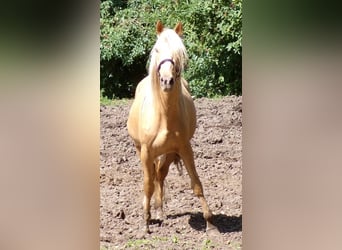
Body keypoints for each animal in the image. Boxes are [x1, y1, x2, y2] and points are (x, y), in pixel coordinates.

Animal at [127, 20, 214, 233]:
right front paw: (145, 223)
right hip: (140, 149)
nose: (167, 81)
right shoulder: (146, 152)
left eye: (179, 52)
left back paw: (160, 211)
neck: (163, 116)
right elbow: (148, 185)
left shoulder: (184, 148)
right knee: (153, 177)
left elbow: (196, 184)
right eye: (157, 50)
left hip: (169, 153)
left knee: (160, 175)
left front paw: (210, 223)